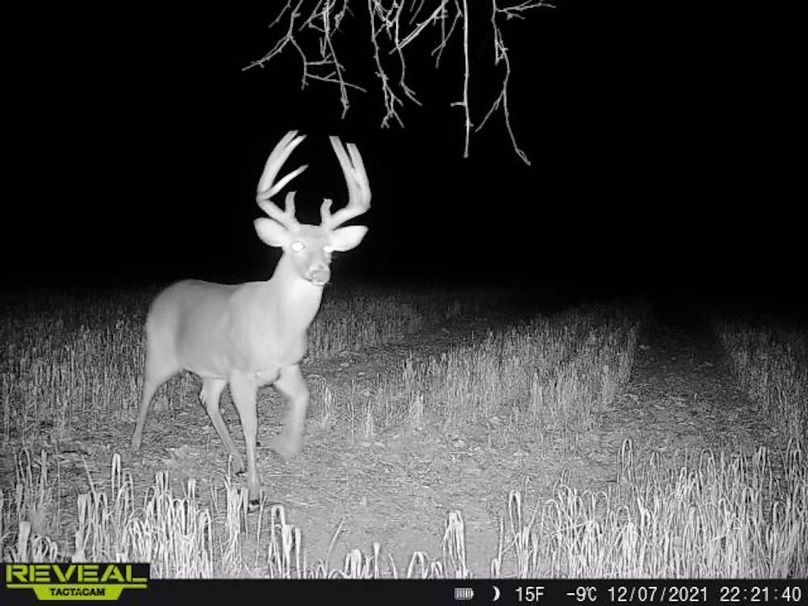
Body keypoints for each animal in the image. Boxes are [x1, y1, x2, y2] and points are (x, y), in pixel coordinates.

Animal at [130, 130, 371, 509]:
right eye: (296, 245)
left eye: (331, 249)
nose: (320, 273)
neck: (278, 325)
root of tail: (163, 295)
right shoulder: (243, 372)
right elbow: (250, 425)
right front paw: (256, 491)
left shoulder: (287, 367)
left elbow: (303, 399)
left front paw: (285, 447)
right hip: (160, 351)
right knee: (147, 388)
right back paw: (136, 444)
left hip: (214, 370)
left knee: (206, 398)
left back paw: (237, 460)